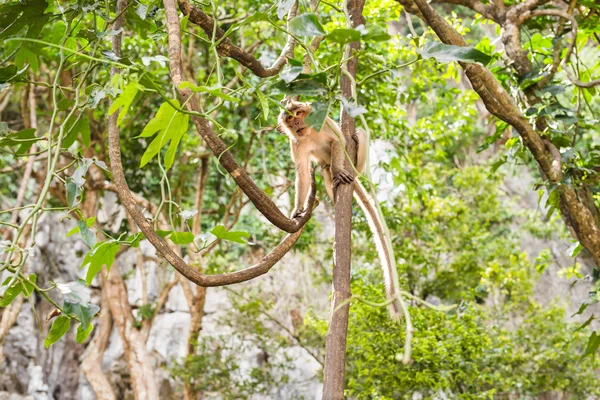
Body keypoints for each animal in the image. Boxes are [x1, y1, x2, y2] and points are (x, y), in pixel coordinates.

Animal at [278, 100, 400, 318]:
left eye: (299, 113)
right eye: (290, 118)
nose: (297, 122)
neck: (309, 132)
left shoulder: (325, 124)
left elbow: (337, 142)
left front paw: (338, 168)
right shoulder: (296, 144)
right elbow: (303, 173)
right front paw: (298, 209)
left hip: (354, 163)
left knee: (358, 137)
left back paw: (350, 164)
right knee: (324, 170)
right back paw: (335, 195)